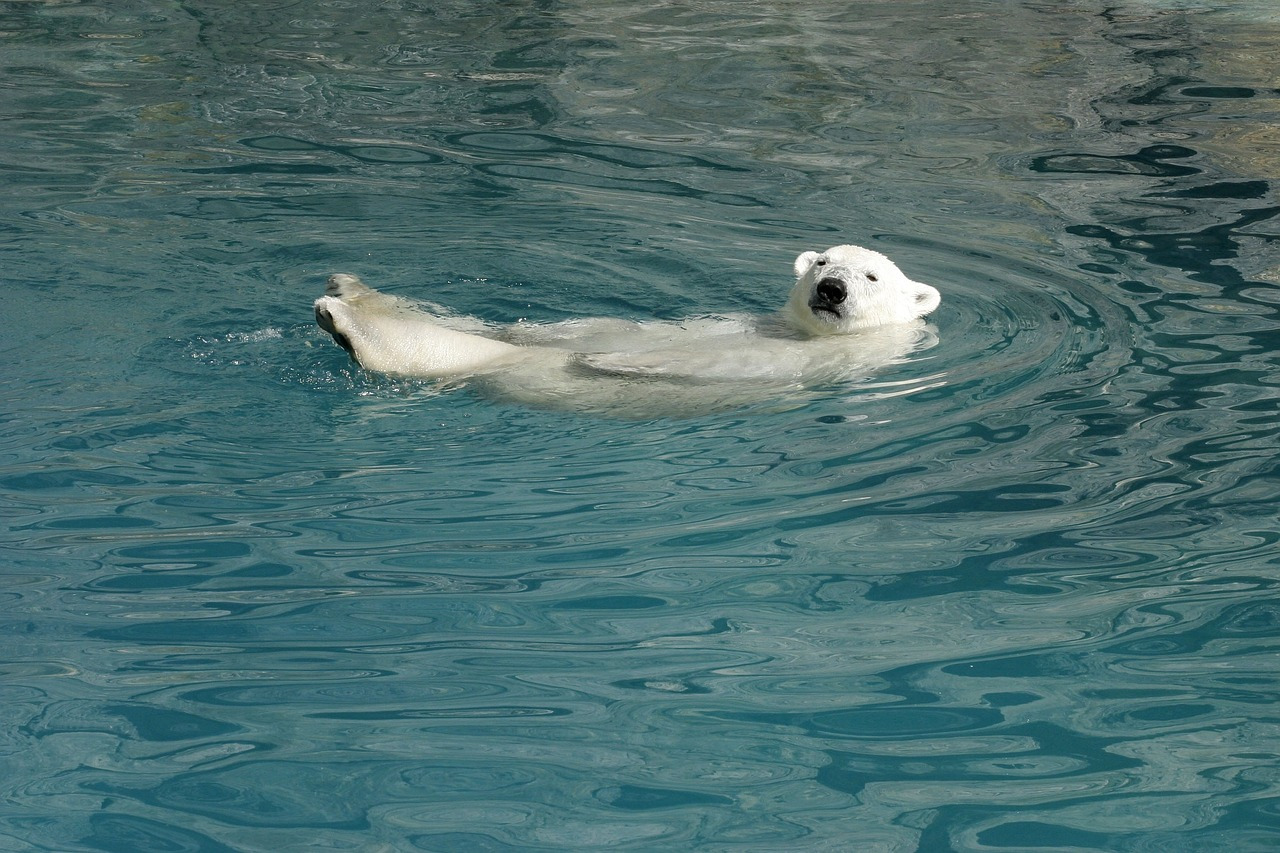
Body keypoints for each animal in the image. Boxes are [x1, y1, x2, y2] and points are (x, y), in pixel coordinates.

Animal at [313, 244, 941, 415]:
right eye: (821, 262)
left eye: (871, 275)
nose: (831, 288)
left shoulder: (826, 361)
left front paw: (612, 362)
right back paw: (348, 291)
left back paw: (347, 322)